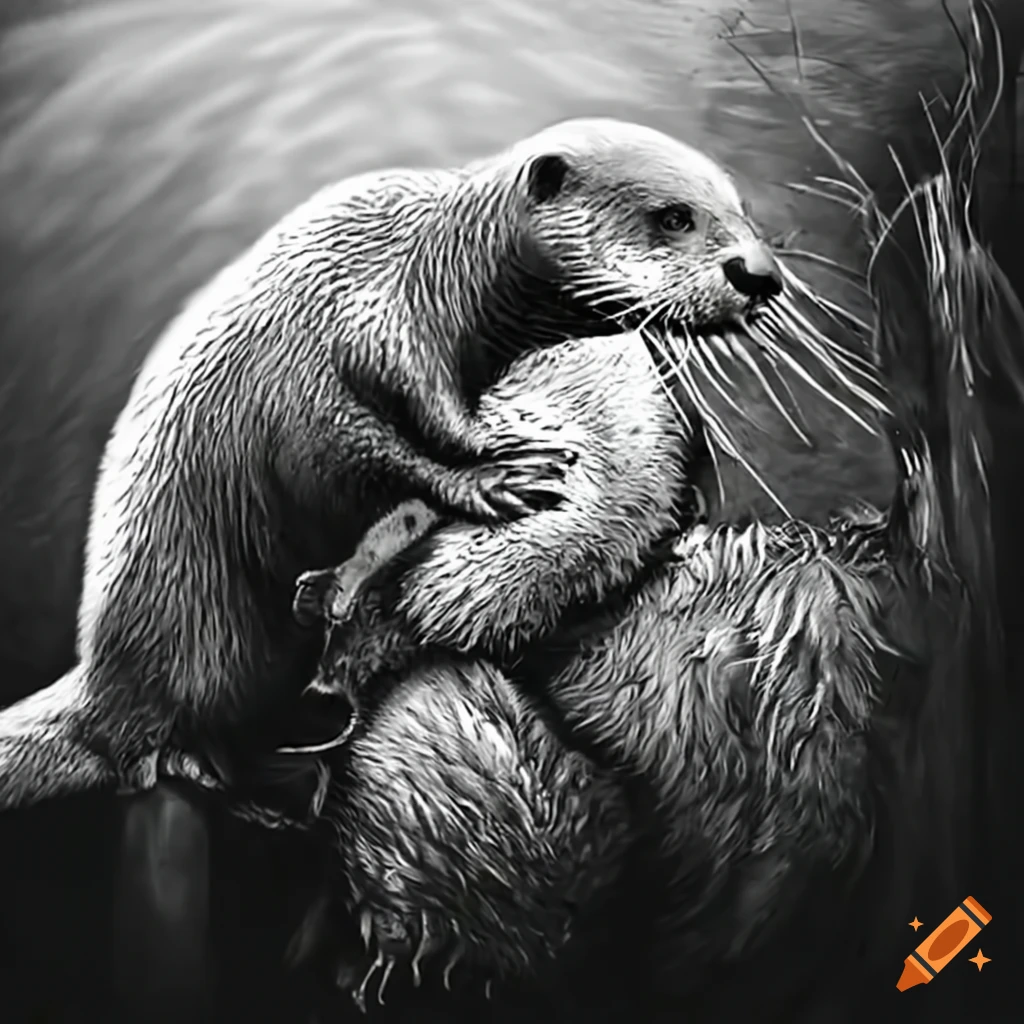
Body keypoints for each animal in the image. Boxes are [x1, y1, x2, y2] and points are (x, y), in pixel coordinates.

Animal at [0, 117, 787, 811]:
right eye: (674, 217)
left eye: (740, 209)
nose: (760, 273)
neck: (429, 276)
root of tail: (99, 677)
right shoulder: (344, 354)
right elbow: (382, 450)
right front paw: (502, 475)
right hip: (198, 632)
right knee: (162, 741)